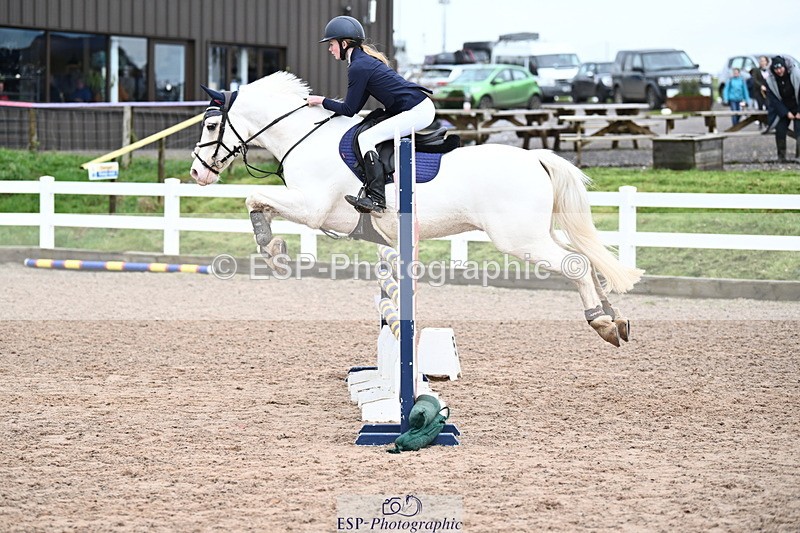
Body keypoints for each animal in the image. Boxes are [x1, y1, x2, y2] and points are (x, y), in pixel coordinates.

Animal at [189, 72, 644, 346]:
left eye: (211, 125)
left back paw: (600, 322)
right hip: (537, 232)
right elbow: (259, 205)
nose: (196, 172)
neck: (305, 136)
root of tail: (536, 158)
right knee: (589, 261)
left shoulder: (313, 207)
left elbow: (253, 198)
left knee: (576, 265)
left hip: (520, 239)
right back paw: (616, 317)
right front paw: (274, 250)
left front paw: (273, 251)